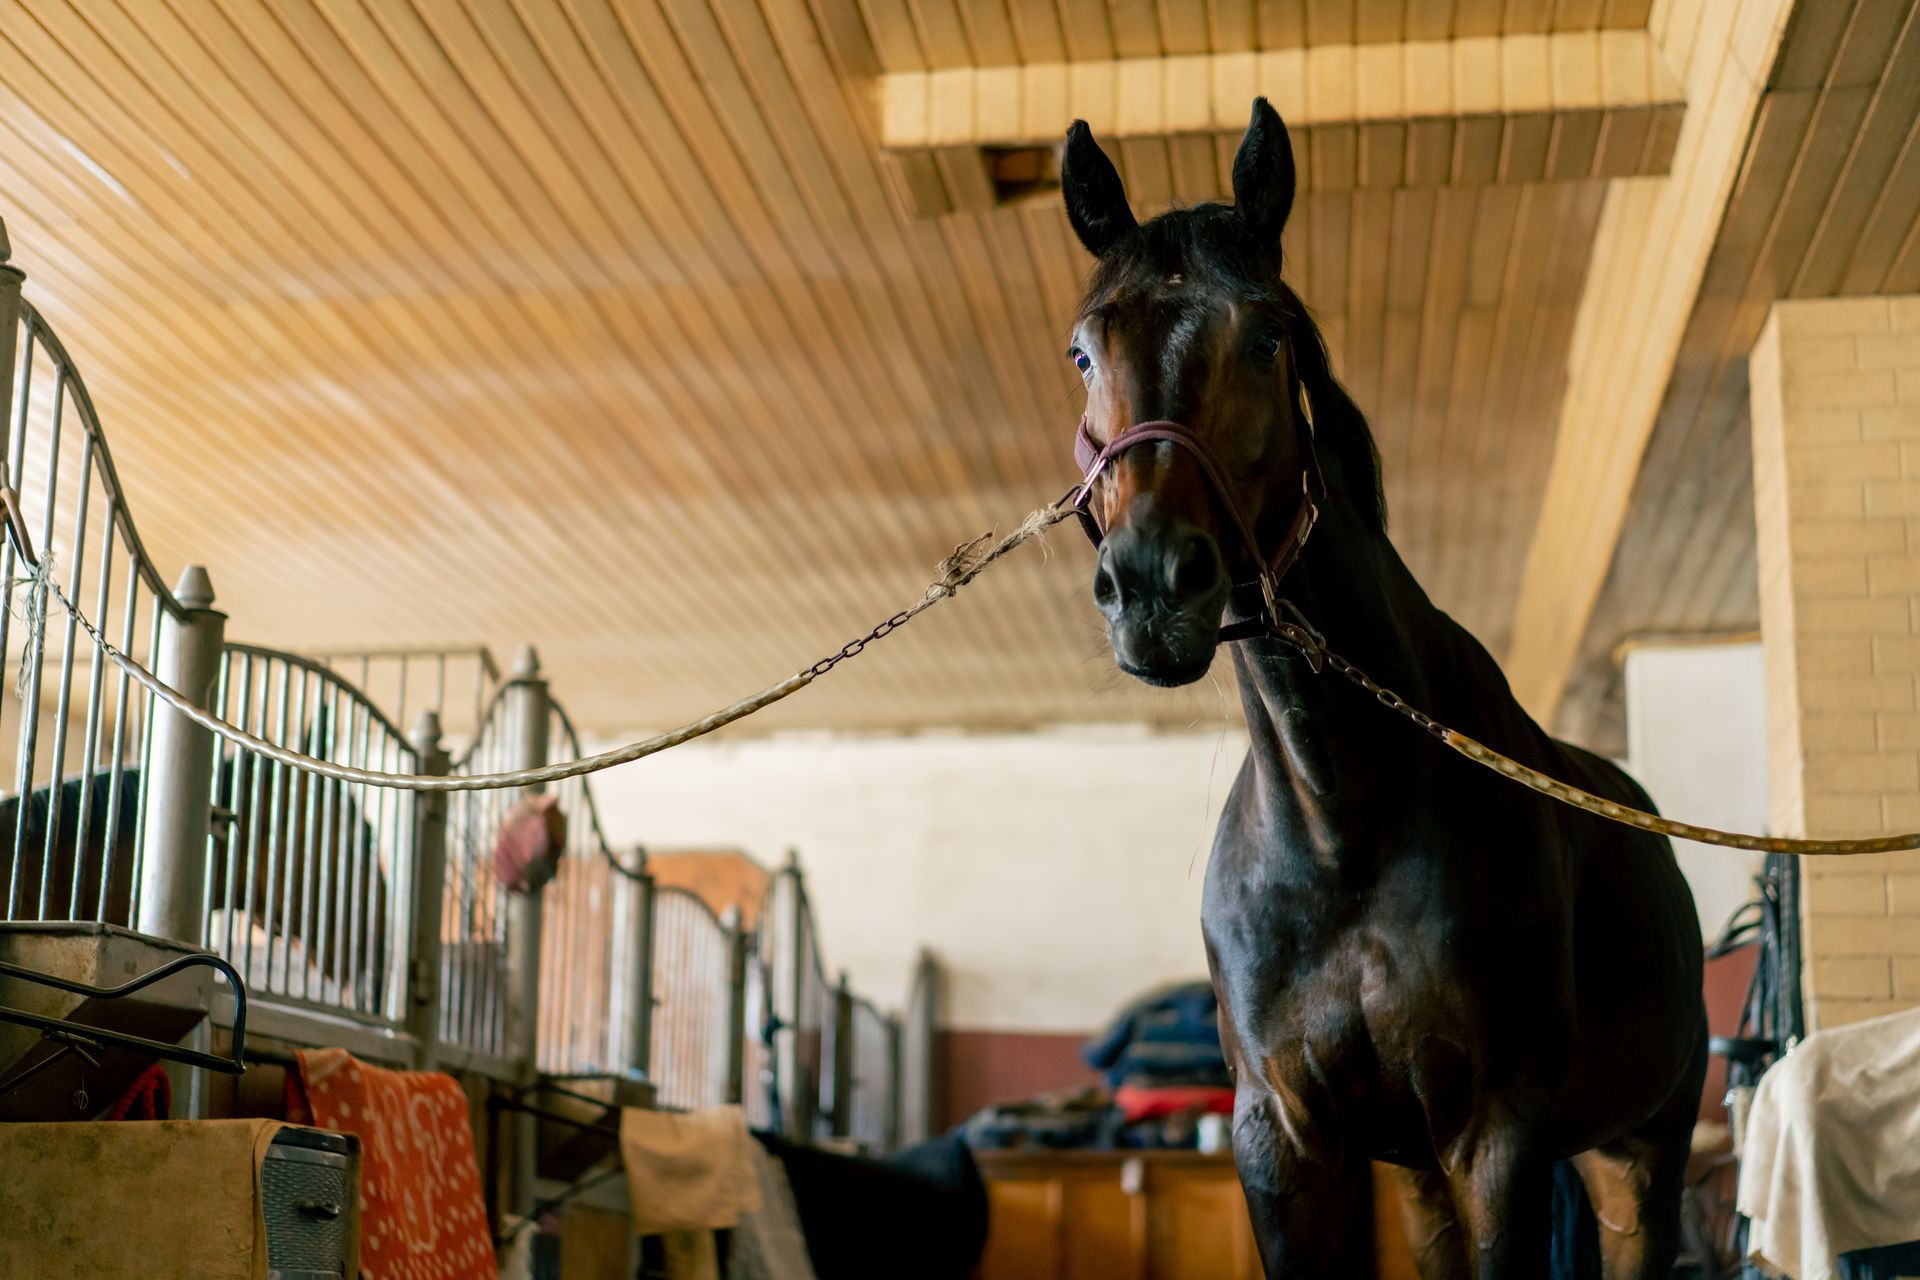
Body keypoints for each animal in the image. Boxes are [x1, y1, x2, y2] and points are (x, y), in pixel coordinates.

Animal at [1059, 100, 1707, 1279]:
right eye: (1084, 351)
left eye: (1268, 335)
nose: (1153, 586)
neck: (1337, 827)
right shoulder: (1287, 1141)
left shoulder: (1498, 1140)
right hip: (1422, 1171)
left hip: (1639, 1153)